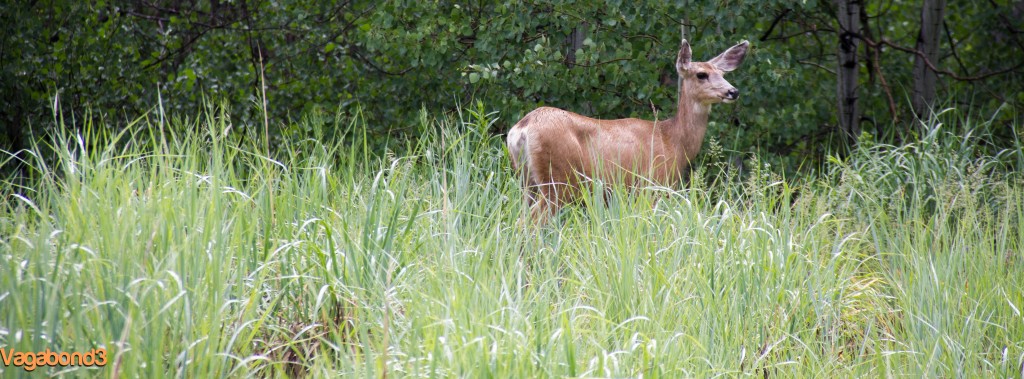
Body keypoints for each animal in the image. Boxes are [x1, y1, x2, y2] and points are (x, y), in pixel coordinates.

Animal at [507, 38, 749, 223]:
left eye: (722, 73)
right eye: (701, 74)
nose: (733, 91)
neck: (673, 140)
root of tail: (522, 128)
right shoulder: (652, 185)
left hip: (527, 180)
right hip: (558, 180)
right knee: (529, 222)